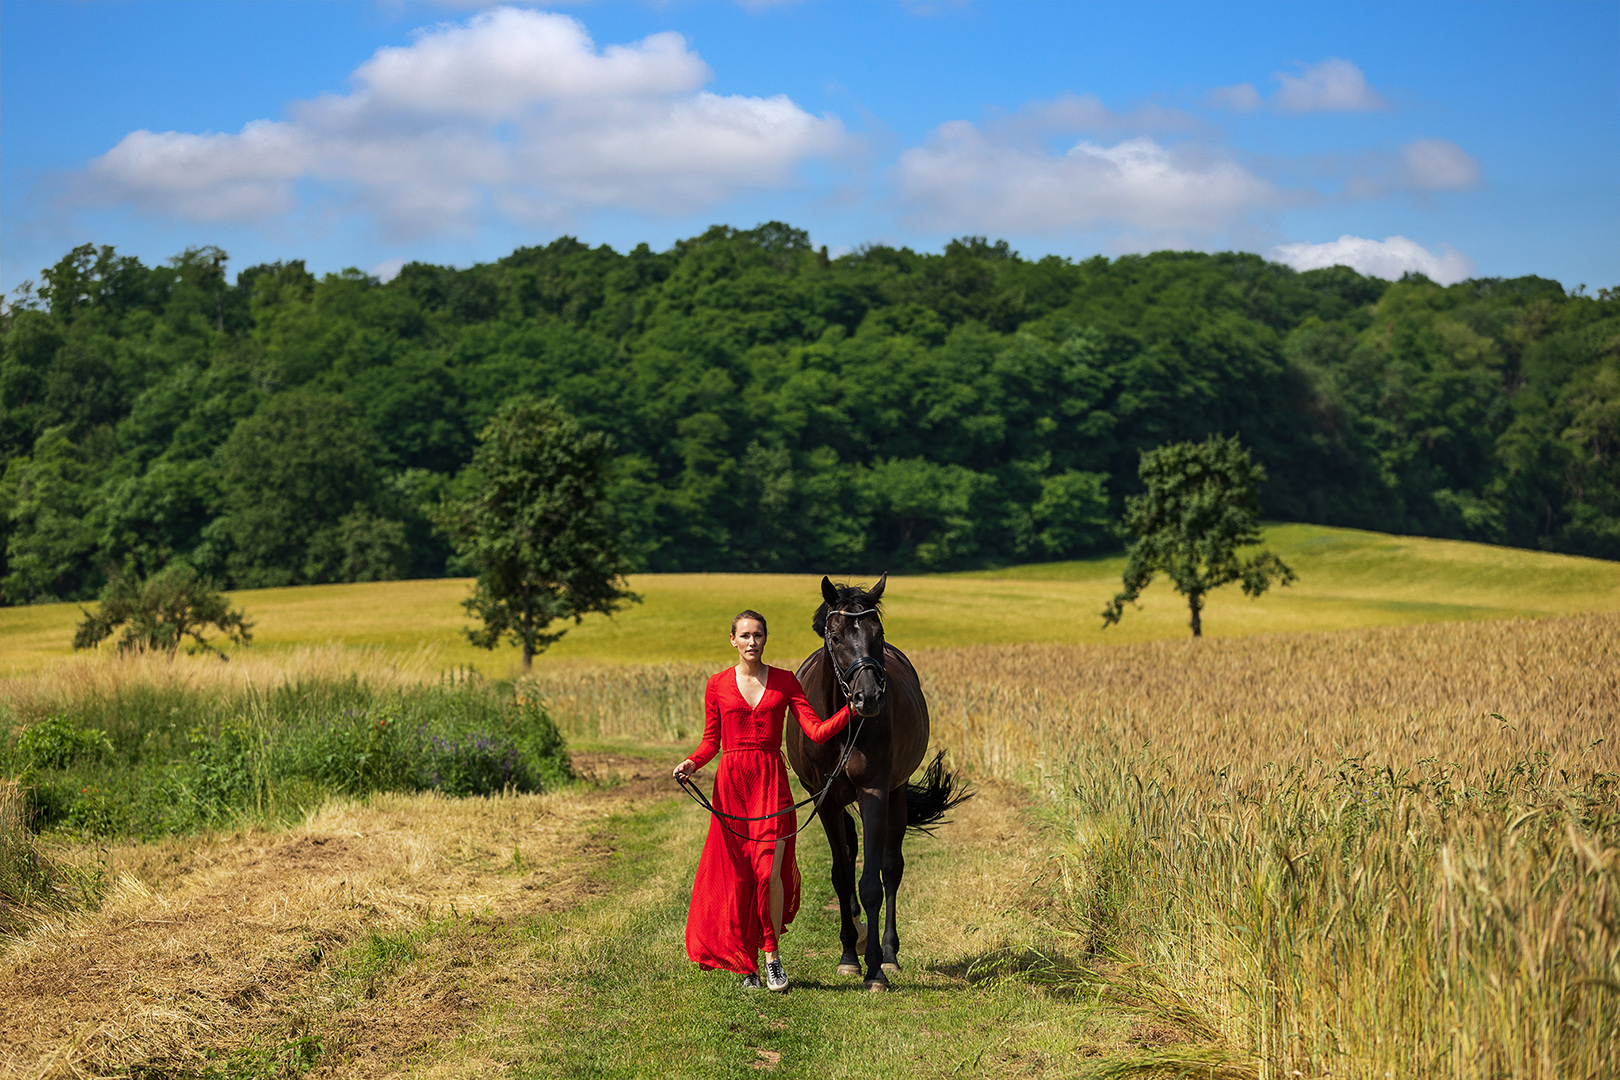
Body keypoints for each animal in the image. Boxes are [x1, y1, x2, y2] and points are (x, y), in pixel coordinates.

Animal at [780, 579, 959, 990]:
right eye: (835, 635)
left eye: (878, 634)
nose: (870, 697)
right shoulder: (825, 798)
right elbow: (842, 875)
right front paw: (849, 955)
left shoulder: (875, 792)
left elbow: (872, 883)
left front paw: (876, 968)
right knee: (849, 849)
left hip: (896, 794)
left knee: (892, 867)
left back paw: (889, 953)